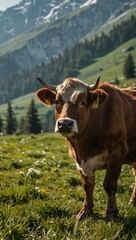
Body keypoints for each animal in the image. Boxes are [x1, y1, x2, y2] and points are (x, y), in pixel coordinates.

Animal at [36, 77, 136, 219]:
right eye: (57, 101)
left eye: (83, 102)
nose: (64, 124)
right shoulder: (79, 158)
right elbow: (87, 185)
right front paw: (85, 211)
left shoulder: (117, 152)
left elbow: (109, 184)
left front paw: (111, 213)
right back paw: (133, 201)